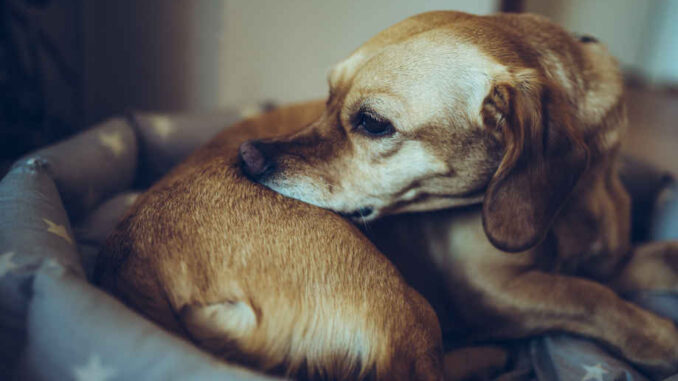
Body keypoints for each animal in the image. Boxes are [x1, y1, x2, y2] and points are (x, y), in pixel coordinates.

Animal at [239, 10, 678, 376]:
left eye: (374, 123)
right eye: (328, 97)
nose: (248, 156)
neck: (578, 199)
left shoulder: (611, 263)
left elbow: (635, 269)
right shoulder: (493, 288)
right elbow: (588, 295)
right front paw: (660, 337)